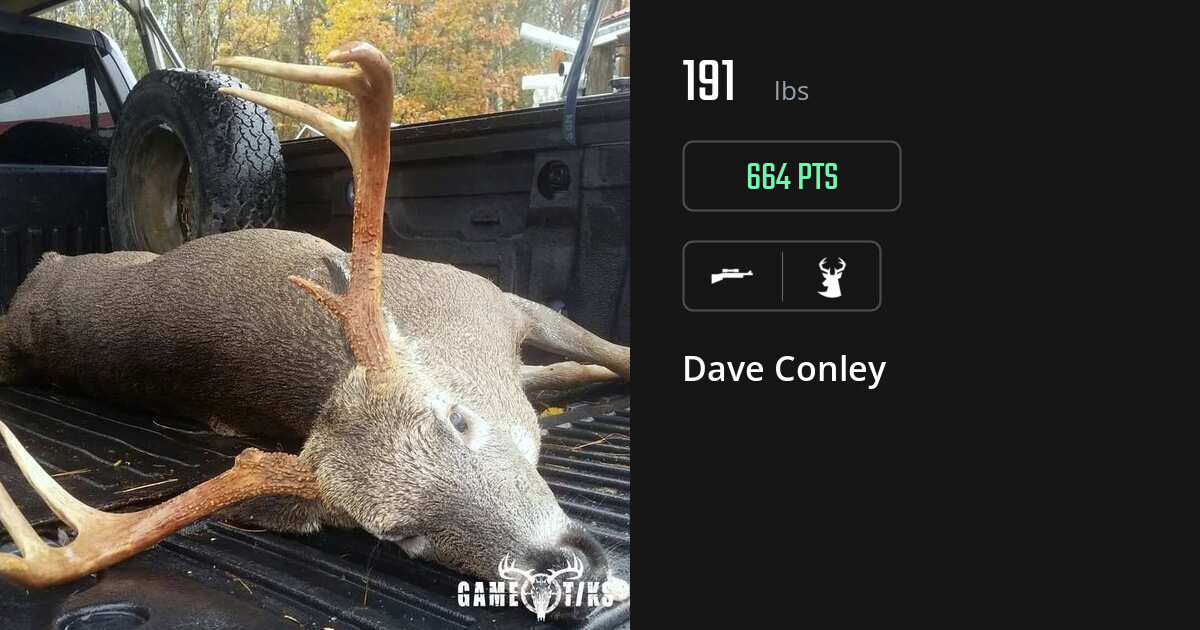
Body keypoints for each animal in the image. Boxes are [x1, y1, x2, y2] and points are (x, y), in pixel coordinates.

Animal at [0, 42, 630, 613]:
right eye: (398, 535)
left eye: (458, 419)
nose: (563, 570)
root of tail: (38, 274)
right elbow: (584, 364)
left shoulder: (498, 299)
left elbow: (602, 355)